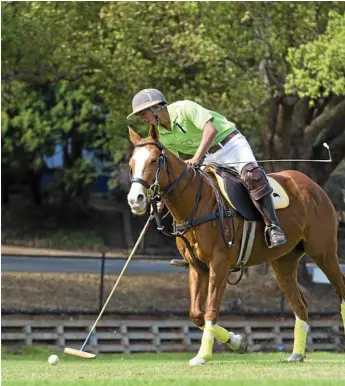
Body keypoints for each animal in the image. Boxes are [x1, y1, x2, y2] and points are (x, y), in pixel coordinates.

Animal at [127, 126, 344, 364]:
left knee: (340, 289)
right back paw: (296, 354)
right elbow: (196, 314)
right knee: (300, 305)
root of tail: (313, 185)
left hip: (324, 253)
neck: (197, 203)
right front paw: (237, 342)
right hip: (283, 263)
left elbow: (211, 310)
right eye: (131, 163)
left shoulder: (219, 264)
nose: (135, 199)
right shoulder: (197, 267)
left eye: (154, 160)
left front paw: (203, 356)